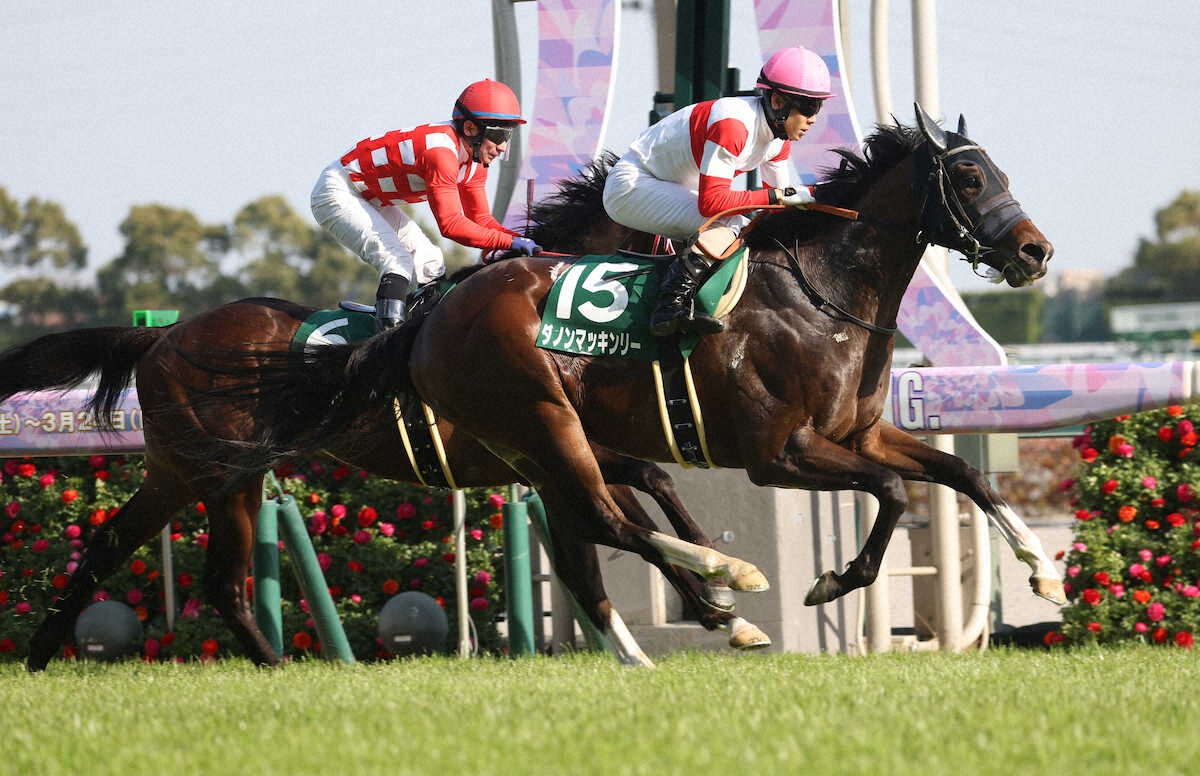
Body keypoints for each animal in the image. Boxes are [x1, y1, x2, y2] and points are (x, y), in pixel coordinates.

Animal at [0, 301, 768, 671]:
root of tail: (164, 336)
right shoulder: (554, 458)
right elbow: (611, 536)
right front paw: (717, 595)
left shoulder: (572, 458)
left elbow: (645, 489)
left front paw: (719, 605)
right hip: (220, 472)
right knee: (215, 576)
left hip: (188, 473)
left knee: (119, 546)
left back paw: (40, 655)